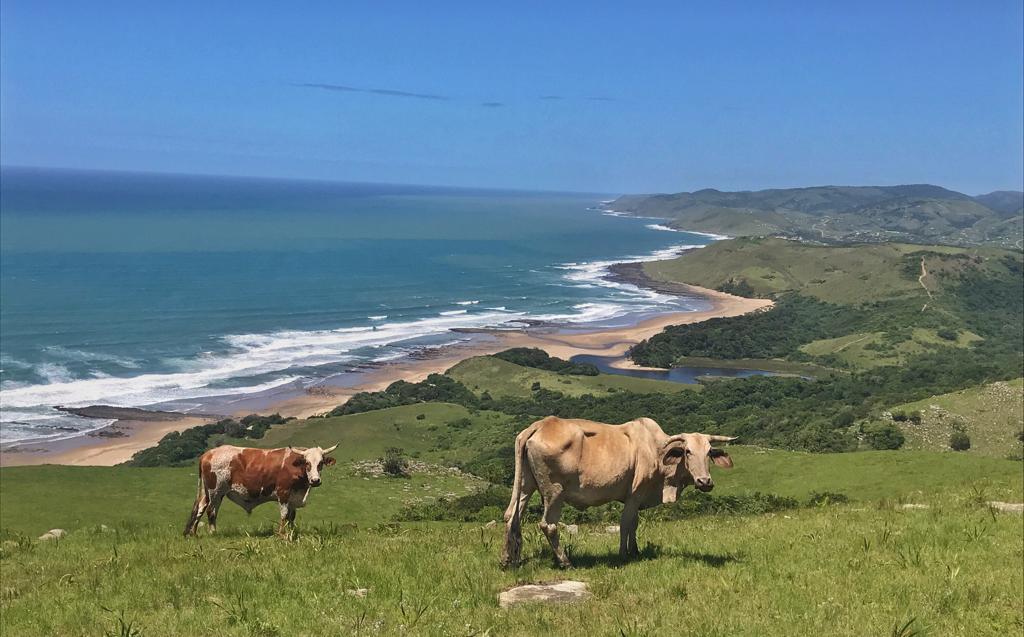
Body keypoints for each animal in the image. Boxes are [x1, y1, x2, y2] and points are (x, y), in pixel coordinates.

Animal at [184, 446, 339, 540]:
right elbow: (284, 515)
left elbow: (291, 517)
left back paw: (193, 533)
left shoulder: (293, 497)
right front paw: (282, 534)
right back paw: (213, 533)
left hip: (208, 492)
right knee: (211, 511)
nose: (315, 480)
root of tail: (207, 453)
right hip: (216, 491)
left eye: (321, 463)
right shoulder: (283, 493)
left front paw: (292, 532)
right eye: (307, 463)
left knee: (200, 508)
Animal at [499, 417, 733, 573]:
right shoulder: (634, 495)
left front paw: (635, 550)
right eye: (687, 451)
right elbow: (626, 524)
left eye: (709, 452)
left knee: (512, 516)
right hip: (554, 492)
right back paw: (566, 562)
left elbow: (634, 525)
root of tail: (540, 425)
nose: (705, 481)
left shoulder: (636, 499)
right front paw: (623, 555)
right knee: (548, 525)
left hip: (525, 485)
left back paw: (509, 560)